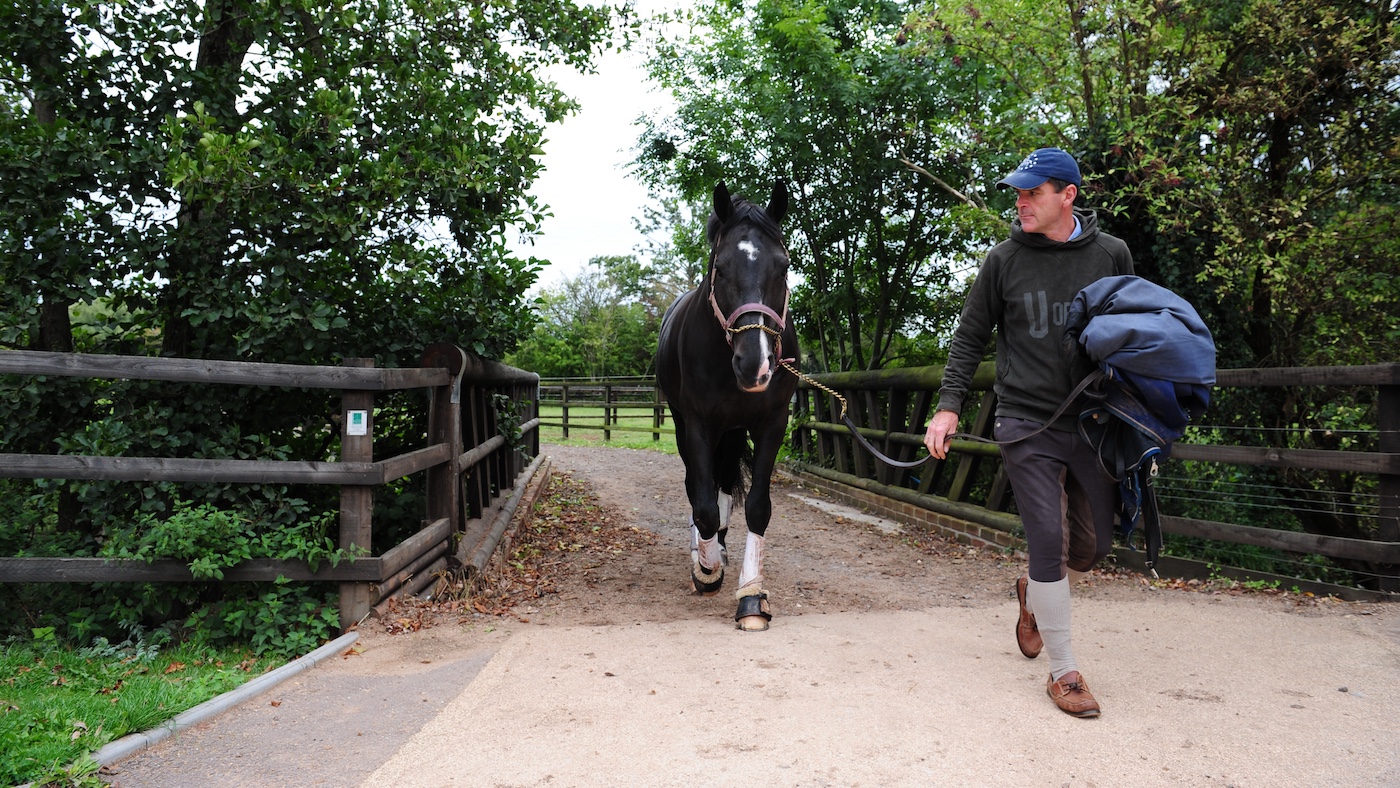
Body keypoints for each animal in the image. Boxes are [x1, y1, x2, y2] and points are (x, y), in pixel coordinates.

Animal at [655, 179, 799, 632]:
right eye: (720, 268)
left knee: (723, 487)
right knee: (698, 489)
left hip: (733, 432)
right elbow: (701, 504)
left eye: (784, 267)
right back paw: (705, 554)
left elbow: (756, 507)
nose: (756, 363)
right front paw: (706, 570)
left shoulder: (772, 423)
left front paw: (752, 596)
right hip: (686, 427)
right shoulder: (699, 425)